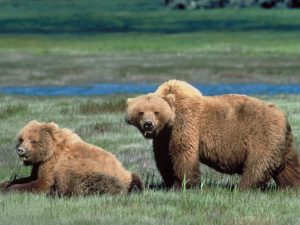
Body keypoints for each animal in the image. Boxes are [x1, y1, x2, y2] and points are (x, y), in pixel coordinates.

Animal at [0, 120, 143, 196]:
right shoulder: (39, 164)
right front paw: (5, 184)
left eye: (33, 140)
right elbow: (30, 177)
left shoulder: (52, 164)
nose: (21, 150)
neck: (49, 152)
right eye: (21, 139)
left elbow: (42, 183)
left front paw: (11, 189)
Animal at [125, 81, 300, 190]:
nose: (148, 124)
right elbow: (164, 158)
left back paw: (242, 188)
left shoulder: (186, 122)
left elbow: (183, 152)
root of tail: (284, 117)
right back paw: (292, 187)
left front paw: (184, 184)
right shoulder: (162, 136)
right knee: (289, 166)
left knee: (257, 165)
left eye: (156, 112)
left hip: (262, 135)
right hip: (282, 143)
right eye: (140, 112)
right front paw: (170, 182)